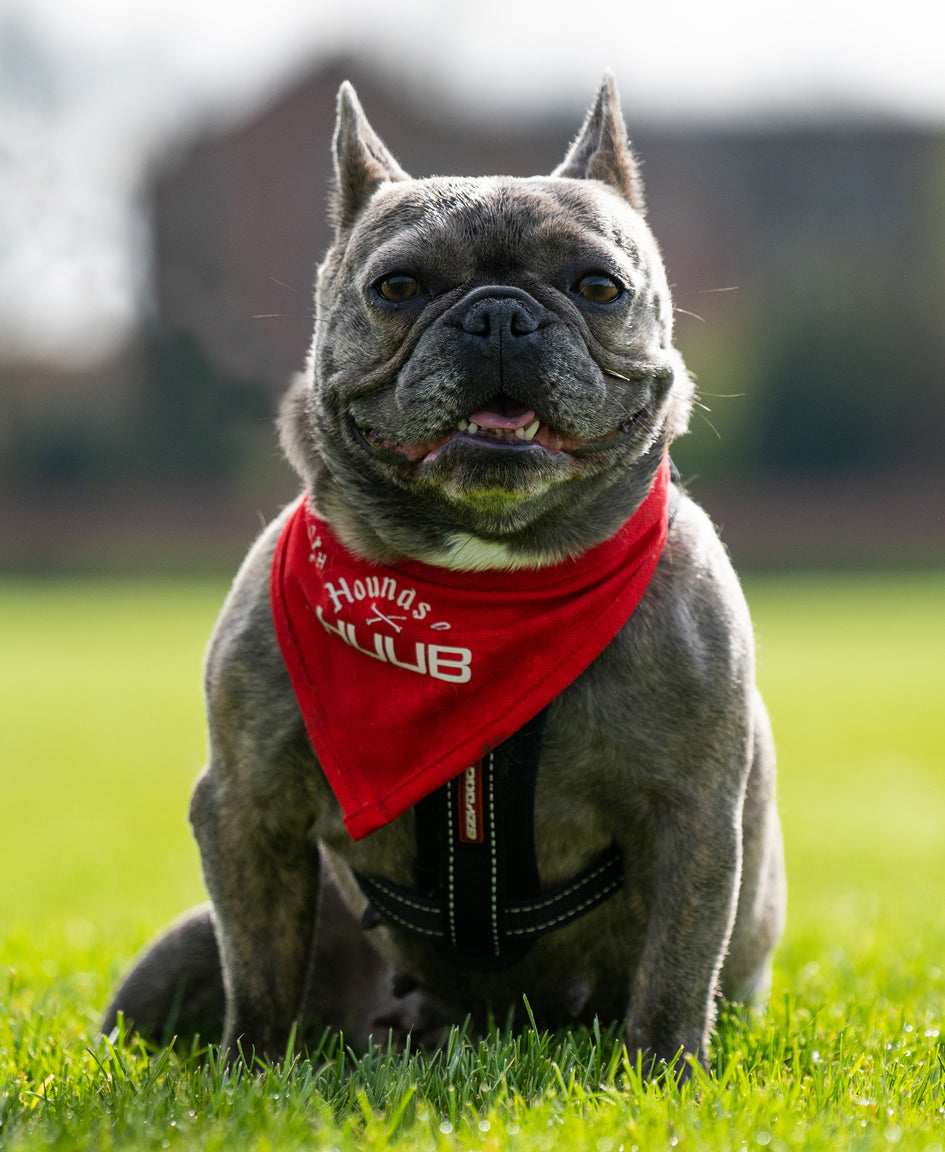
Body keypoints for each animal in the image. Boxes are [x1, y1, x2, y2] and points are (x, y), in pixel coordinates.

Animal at [101, 76, 783, 1073]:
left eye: (598, 287)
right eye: (397, 287)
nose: (498, 313)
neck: (483, 581)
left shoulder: (690, 814)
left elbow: (674, 967)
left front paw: (660, 1073)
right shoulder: (247, 805)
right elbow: (258, 967)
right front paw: (245, 1075)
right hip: (179, 953)